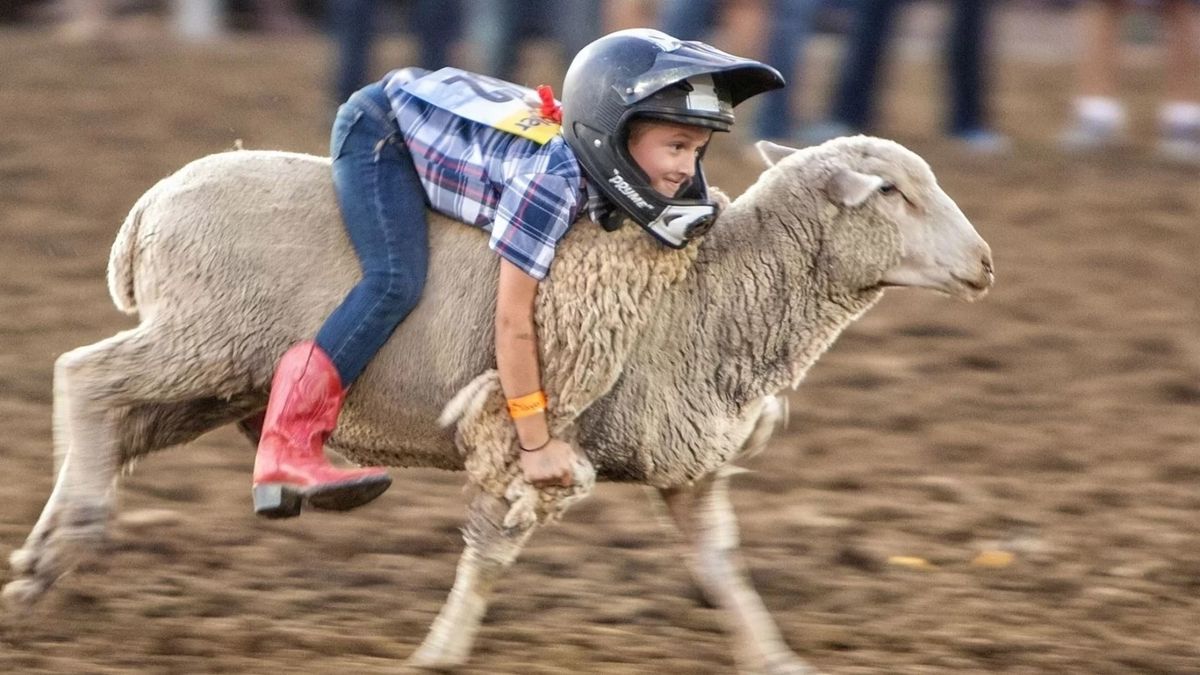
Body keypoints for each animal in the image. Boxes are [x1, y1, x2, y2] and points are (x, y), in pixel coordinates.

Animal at [4, 133, 993, 667]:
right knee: (82, 375)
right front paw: (438, 654)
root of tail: (151, 205)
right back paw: (72, 531)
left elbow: (723, 570)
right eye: (894, 193)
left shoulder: (686, 461)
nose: (985, 264)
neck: (708, 291)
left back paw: (48, 556)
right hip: (201, 338)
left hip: (216, 373)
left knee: (111, 418)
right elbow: (487, 556)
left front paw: (776, 656)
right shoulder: (531, 435)